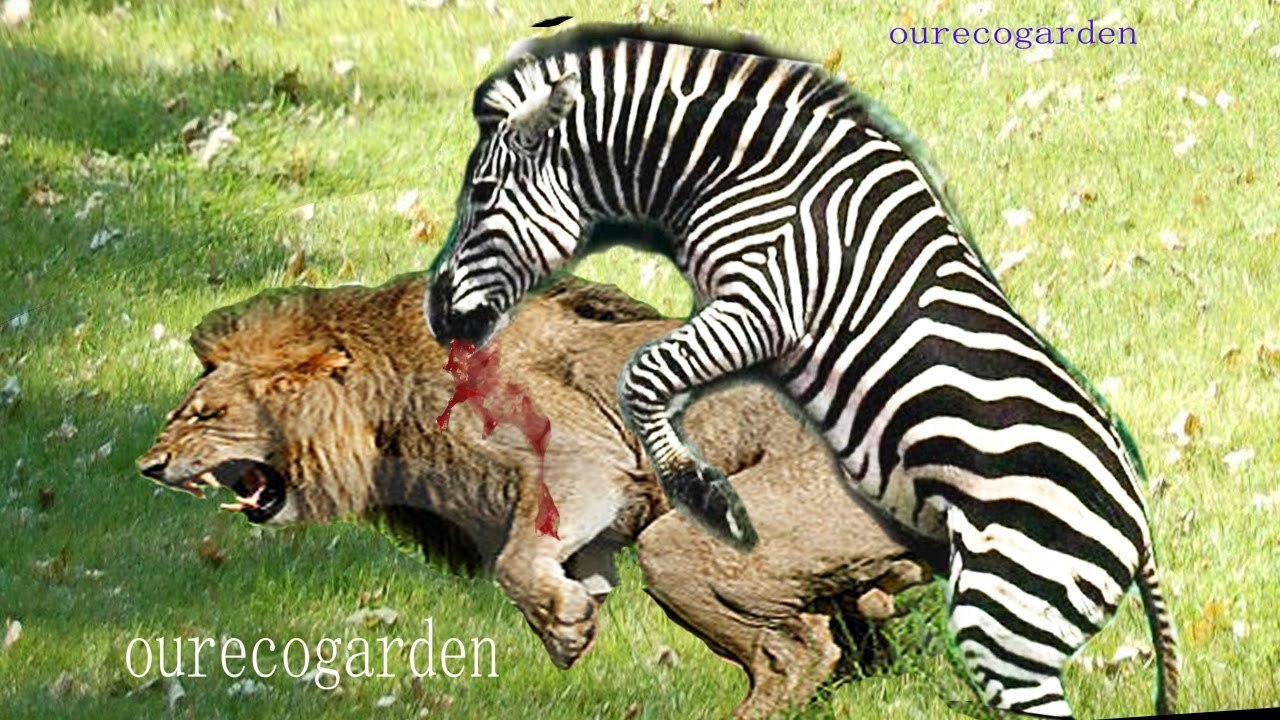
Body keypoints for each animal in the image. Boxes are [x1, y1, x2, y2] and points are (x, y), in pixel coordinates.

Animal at [137, 273, 928, 719]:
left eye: (206, 413)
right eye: (184, 412)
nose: (148, 465)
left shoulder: (585, 459)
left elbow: (517, 563)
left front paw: (566, 628)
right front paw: (567, 616)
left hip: (681, 542)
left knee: (796, 654)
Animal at [424, 23, 1178, 718]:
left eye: (482, 192)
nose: (435, 314)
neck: (744, 173)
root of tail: (1140, 527)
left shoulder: (766, 303)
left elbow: (644, 372)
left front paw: (705, 495)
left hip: (1005, 615)